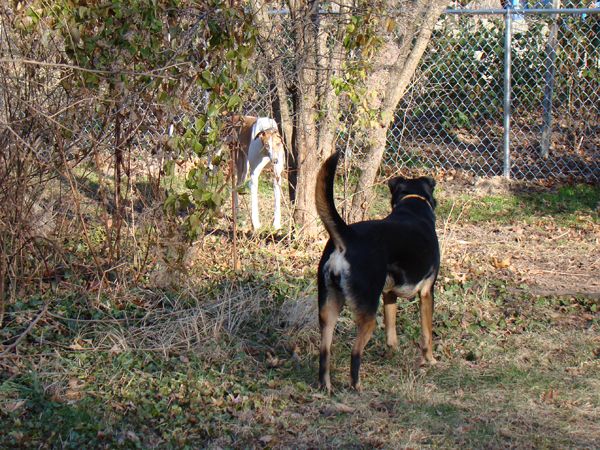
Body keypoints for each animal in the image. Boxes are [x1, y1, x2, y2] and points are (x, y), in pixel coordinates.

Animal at [316, 151, 438, 390]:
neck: (412, 202)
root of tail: (347, 238)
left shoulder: (389, 294)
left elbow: (391, 335)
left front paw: (392, 355)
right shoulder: (427, 292)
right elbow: (426, 335)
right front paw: (430, 361)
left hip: (328, 308)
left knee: (324, 352)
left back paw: (326, 387)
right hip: (368, 313)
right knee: (355, 353)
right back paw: (357, 387)